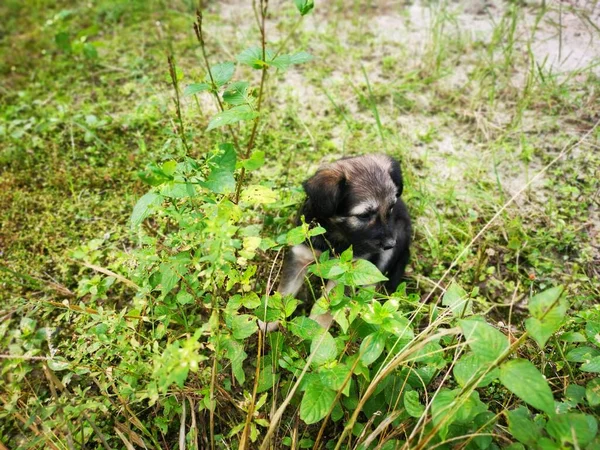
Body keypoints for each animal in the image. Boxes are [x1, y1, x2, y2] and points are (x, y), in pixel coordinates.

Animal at [262, 155, 412, 330]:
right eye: (364, 215)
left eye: (391, 208)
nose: (390, 244)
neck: (334, 236)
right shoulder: (299, 256)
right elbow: (285, 292)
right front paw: (268, 320)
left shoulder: (348, 270)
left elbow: (328, 307)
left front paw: (318, 331)